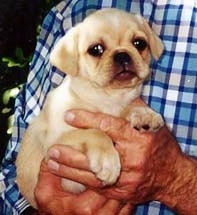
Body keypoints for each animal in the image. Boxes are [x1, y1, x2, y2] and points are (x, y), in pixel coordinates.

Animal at [15, 8, 164, 208]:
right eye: (96, 49)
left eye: (139, 44)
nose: (122, 54)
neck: (107, 98)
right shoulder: (55, 142)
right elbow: (94, 132)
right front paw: (107, 161)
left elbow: (129, 105)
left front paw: (144, 114)